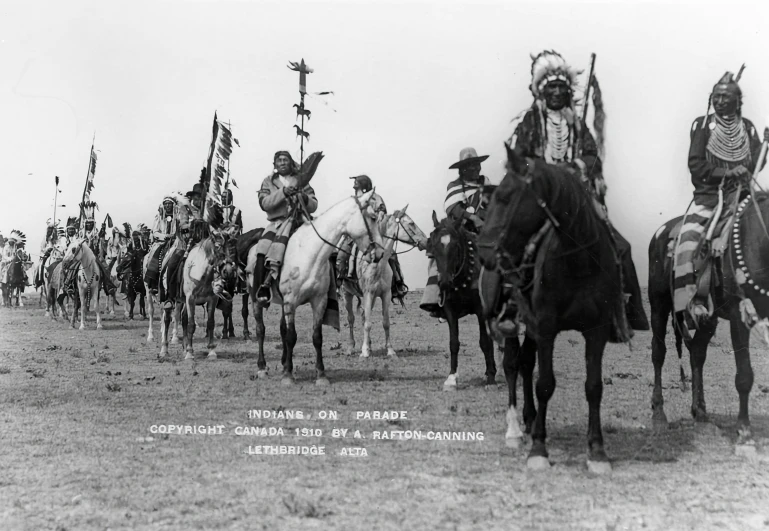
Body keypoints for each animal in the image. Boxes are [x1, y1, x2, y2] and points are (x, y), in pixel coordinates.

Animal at [278, 189, 388, 384]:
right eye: (373, 217)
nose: (380, 253)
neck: (308, 253)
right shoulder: (290, 302)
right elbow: (291, 336)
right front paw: (288, 376)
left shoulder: (319, 302)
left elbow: (317, 337)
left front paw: (321, 375)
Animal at [340, 206, 428, 360]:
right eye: (411, 223)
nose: (425, 241)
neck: (377, 264)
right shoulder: (368, 294)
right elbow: (368, 324)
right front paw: (364, 352)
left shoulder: (385, 294)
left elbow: (385, 322)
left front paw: (390, 350)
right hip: (347, 294)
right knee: (351, 319)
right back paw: (351, 348)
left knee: (363, 316)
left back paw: (369, 345)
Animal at [424, 212, 496, 390]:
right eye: (433, 245)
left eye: (455, 246)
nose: (444, 283)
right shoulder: (450, 311)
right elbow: (454, 343)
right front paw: (451, 378)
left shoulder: (480, 310)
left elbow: (485, 342)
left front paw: (491, 377)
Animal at [476, 145, 628, 474]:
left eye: (505, 196)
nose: (484, 253)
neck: (578, 261)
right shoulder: (546, 327)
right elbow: (545, 384)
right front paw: (539, 451)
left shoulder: (596, 331)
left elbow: (594, 387)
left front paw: (597, 452)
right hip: (515, 324)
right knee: (512, 365)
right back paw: (515, 430)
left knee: (525, 362)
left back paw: (531, 419)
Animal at [648, 191, 768, 448]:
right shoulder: (738, 317)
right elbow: (744, 374)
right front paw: (744, 430)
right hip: (659, 304)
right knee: (658, 353)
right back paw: (659, 415)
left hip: (707, 317)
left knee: (697, 352)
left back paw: (700, 412)